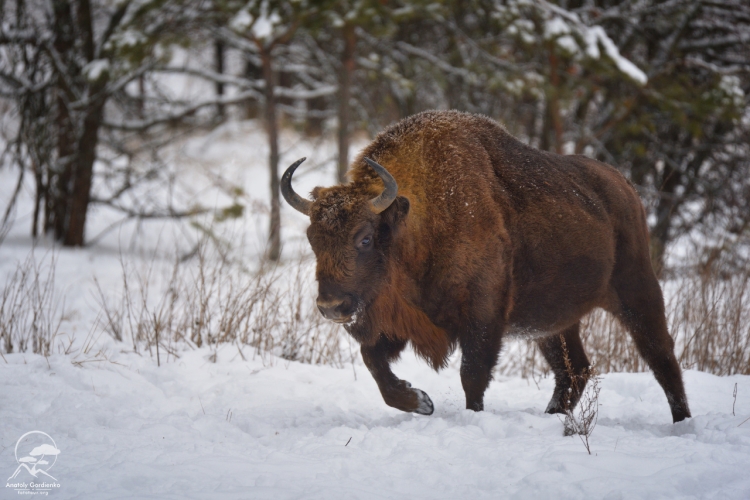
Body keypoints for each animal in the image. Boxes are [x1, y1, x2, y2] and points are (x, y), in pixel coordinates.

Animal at [282, 109, 692, 422]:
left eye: (365, 238)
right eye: (313, 239)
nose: (332, 307)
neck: (418, 220)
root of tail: (625, 188)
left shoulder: (483, 318)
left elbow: (472, 375)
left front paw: (470, 417)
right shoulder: (394, 323)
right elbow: (374, 364)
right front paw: (420, 402)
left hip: (636, 291)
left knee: (661, 357)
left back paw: (681, 422)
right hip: (552, 325)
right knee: (574, 370)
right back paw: (553, 418)